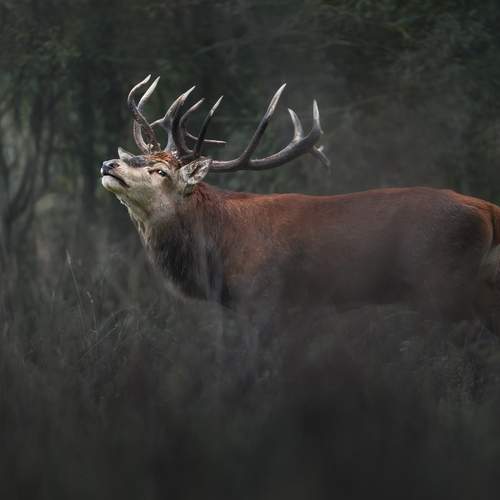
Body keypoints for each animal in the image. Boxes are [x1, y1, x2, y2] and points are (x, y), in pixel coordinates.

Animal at [101, 75, 500, 331]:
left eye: (160, 171)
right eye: (136, 155)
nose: (109, 164)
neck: (220, 251)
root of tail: (487, 210)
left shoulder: (266, 300)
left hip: (442, 283)